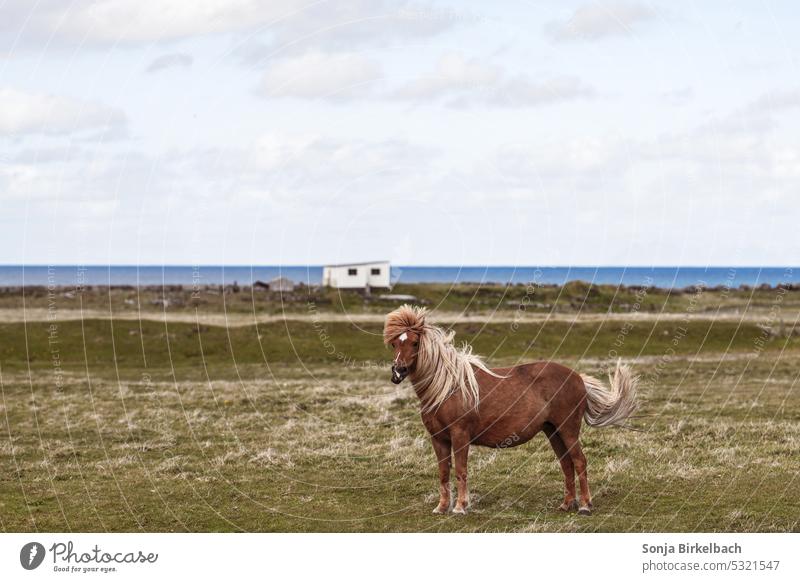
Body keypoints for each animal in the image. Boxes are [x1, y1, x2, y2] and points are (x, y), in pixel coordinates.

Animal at [384, 306, 640, 516]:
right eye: (395, 343)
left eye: (414, 343)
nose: (398, 372)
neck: (448, 387)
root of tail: (577, 378)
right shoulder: (438, 439)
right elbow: (443, 473)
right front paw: (441, 507)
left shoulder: (460, 436)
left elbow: (460, 470)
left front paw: (459, 508)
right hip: (553, 431)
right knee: (566, 464)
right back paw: (567, 504)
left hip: (568, 430)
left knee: (579, 462)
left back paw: (585, 506)